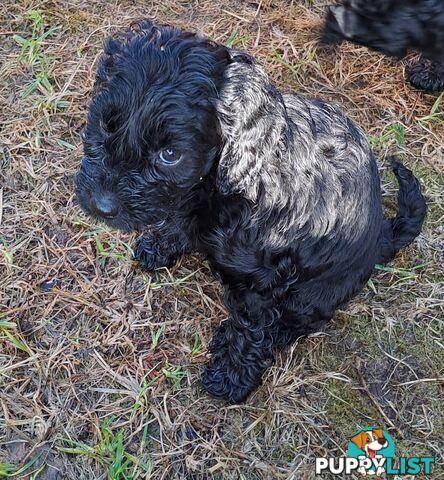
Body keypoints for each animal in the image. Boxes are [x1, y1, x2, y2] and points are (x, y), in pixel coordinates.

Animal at [75, 20, 426, 404]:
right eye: (105, 124)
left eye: (170, 154)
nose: (100, 205)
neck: (233, 182)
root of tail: (381, 237)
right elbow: (182, 217)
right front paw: (159, 244)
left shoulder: (266, 279)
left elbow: (252, 327)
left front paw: (232, 376)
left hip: (313, 293)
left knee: (299, 321)